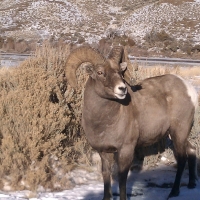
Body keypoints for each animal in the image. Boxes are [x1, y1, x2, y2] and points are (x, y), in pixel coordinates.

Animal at [65, 45, 198, 200]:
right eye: (100, 72)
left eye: (119, 72)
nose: (122, 89)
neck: (103, 122)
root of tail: (189, 89)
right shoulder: (104, 152)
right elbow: (106, 175)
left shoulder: (126, 149)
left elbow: (122, 177)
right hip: (176, 135)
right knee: (192, 150)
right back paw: (191, 184)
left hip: (179, 133)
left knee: (182, 159)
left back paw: (174, 192)